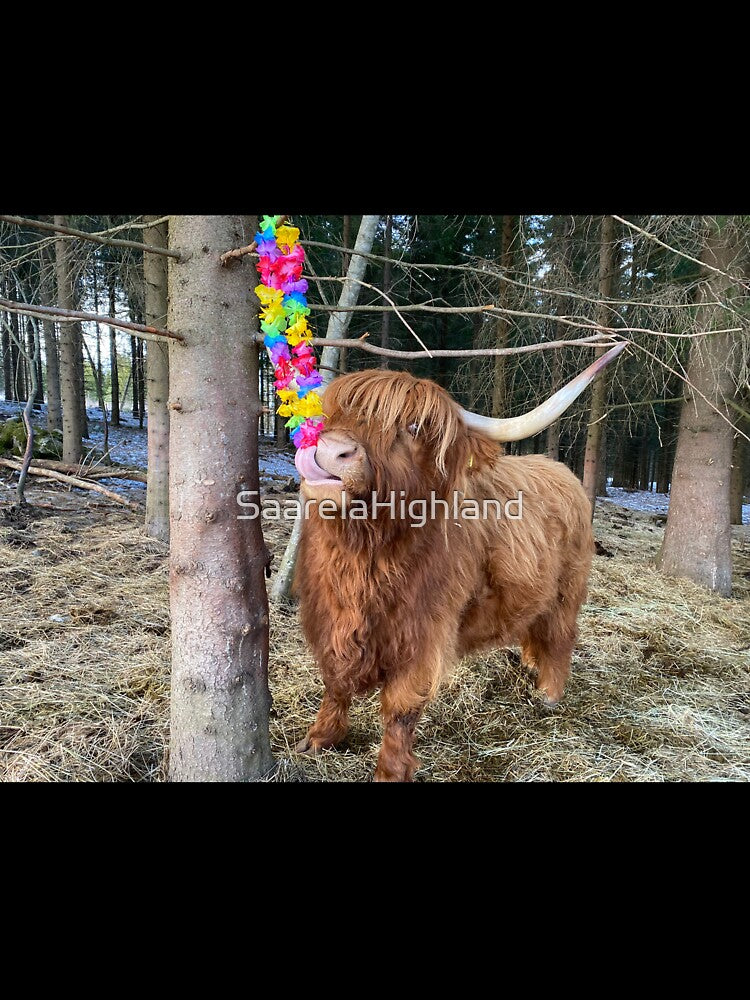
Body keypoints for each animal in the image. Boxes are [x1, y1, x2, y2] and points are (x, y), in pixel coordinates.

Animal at [292, 343, 626, 781]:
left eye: (413, 426)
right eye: (333, 413)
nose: (332, 451)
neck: (361, 556)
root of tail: (560, 470)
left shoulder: (423, 635)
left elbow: (401, 707)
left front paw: (390, 771)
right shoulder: (326, 616)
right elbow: (334, 681)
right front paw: (319, 738)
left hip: (568, 590)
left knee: (561, 634)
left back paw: (549, 693)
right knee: (536, 628)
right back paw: (530, 665)